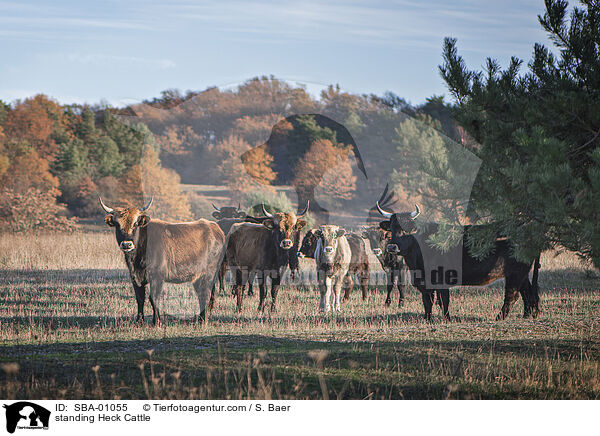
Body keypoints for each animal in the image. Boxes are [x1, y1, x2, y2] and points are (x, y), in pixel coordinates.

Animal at [378, 201, 540, 320]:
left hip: (516, 272)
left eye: (407, 229)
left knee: (512, 294)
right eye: (391, 228)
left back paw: (499, 317)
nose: (391, 247)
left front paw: (447, 319)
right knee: (526, 292)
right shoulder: (424, 283)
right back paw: (528, 315)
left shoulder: (441, 280)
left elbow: (443, 301)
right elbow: (427, 301)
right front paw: (427, 319)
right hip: (520, 272)